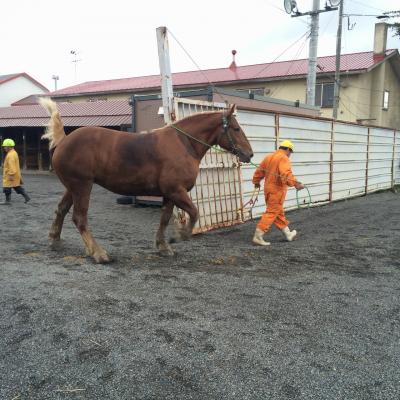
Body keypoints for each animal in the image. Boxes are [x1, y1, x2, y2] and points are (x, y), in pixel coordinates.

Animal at [39, 98, 253, 264]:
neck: (183, 144)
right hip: (82, 186)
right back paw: (98, 253)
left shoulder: (169, 194)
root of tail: (64, 140)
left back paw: (55, 241)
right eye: (236, 128)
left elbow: (165, 219)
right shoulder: (176, 191)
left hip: (73, 187)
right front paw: (179, 236)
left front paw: (163, 246)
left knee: (61, 210)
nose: (249, 154)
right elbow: (194, 212)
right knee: (79, 218)